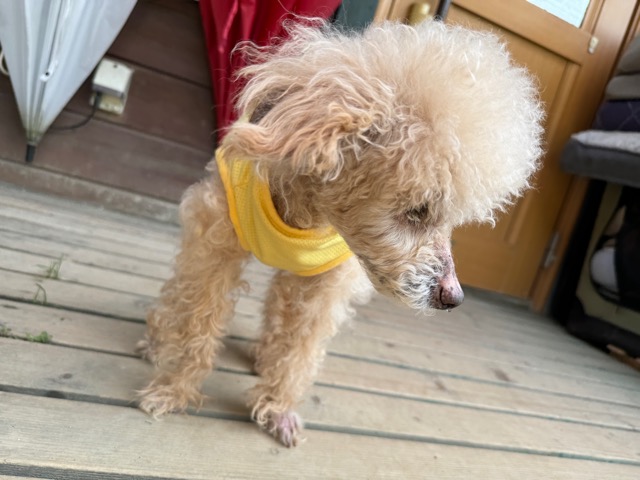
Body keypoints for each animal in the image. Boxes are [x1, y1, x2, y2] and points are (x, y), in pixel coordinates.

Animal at [136, 19, 544, 447]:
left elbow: (301, 346)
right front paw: (172, 390)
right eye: (418, 210)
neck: (309, 214)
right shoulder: (215, 238)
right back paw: (156, 343)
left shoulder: (325, 282)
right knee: (177, 296)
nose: (454, 297)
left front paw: (277, 409)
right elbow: (196, 319)